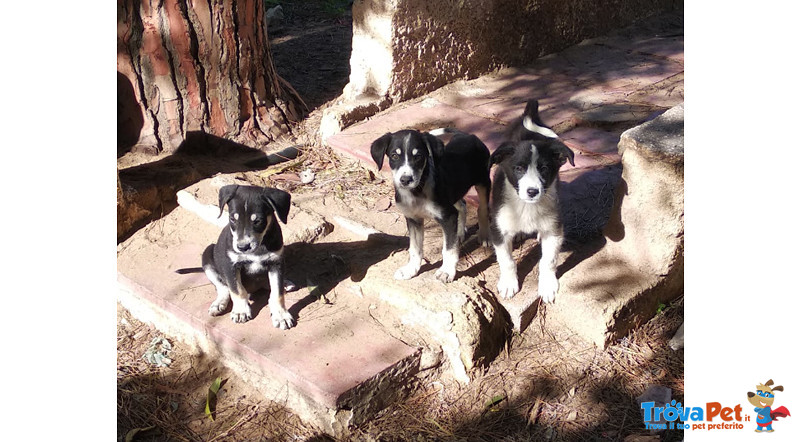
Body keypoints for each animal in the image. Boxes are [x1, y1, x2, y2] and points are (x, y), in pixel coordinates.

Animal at [202, 183, 296, 328]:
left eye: (258, 221)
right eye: (232, 219)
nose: (242, 247)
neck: (259, 247)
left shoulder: (276, 263)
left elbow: (277, 293)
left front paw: (281, 316)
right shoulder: (230, 265)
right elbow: (237, 290)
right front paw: (240, 311)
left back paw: (285, 283)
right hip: (207, 256)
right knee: (223, 287)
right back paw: (219, 304)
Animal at [370, 128, 494, 284]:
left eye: (418, 157)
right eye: (394, 156)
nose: (405, 180)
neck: (417, 191)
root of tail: (470, 136)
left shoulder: (447, 216)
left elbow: (449, 249)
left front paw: (446, 271)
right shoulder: (414, 219)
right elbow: (415, 248)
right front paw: (411, 270)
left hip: (483, 181)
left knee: (482, 209)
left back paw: (485, 236)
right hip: (454, 192)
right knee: (462, 205)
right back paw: (459, 233)